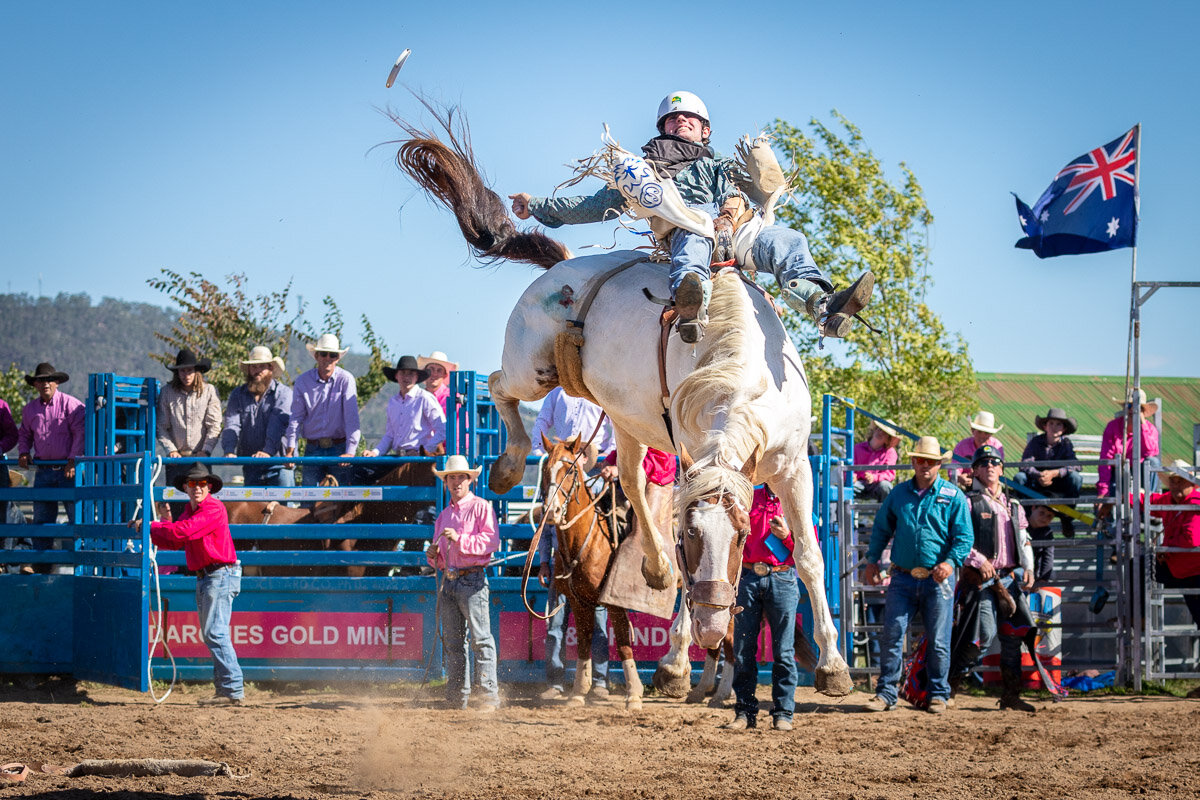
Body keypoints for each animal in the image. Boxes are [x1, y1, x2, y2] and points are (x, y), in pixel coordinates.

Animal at [537, 438, 648, 705]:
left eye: (571, 471)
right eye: (545, 470)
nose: (552, 511)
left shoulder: (616, 603)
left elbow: (623, 643)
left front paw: (634, 694)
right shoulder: (580, 601)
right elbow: (584, 642)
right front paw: (578, 691)